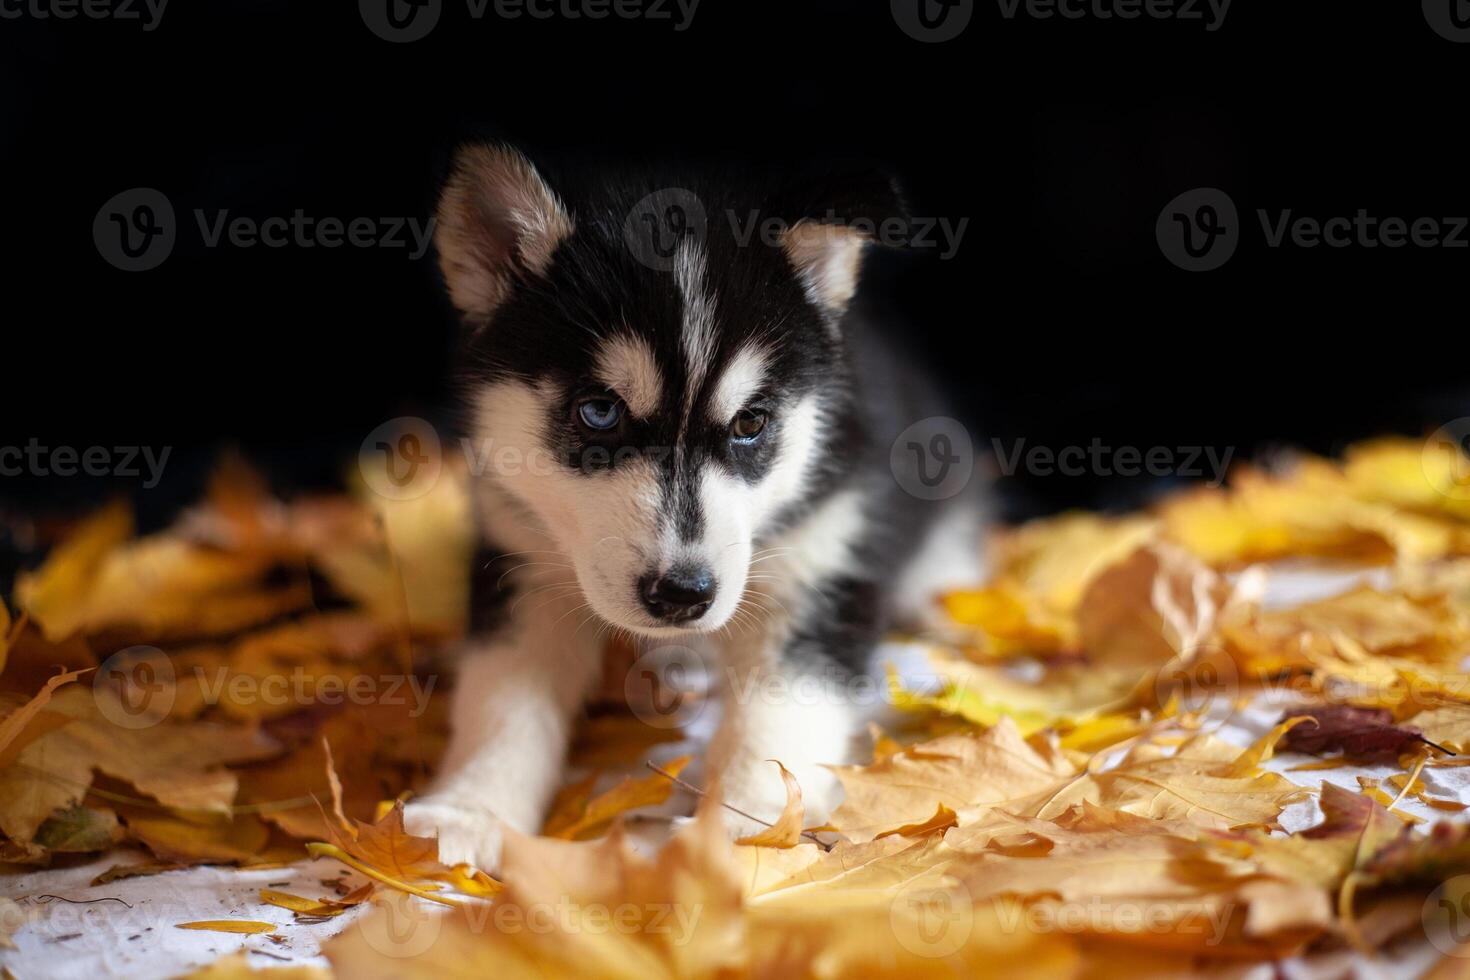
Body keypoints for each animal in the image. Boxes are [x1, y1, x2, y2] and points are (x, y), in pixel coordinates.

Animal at [402, 143, 981, 863]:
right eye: (599, 412)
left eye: (751, 423)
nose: (683, 595)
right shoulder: (521, 555)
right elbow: (503, 697)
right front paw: (470, 810)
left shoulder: (828, 556)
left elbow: (782, 706)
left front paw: (748, 826)